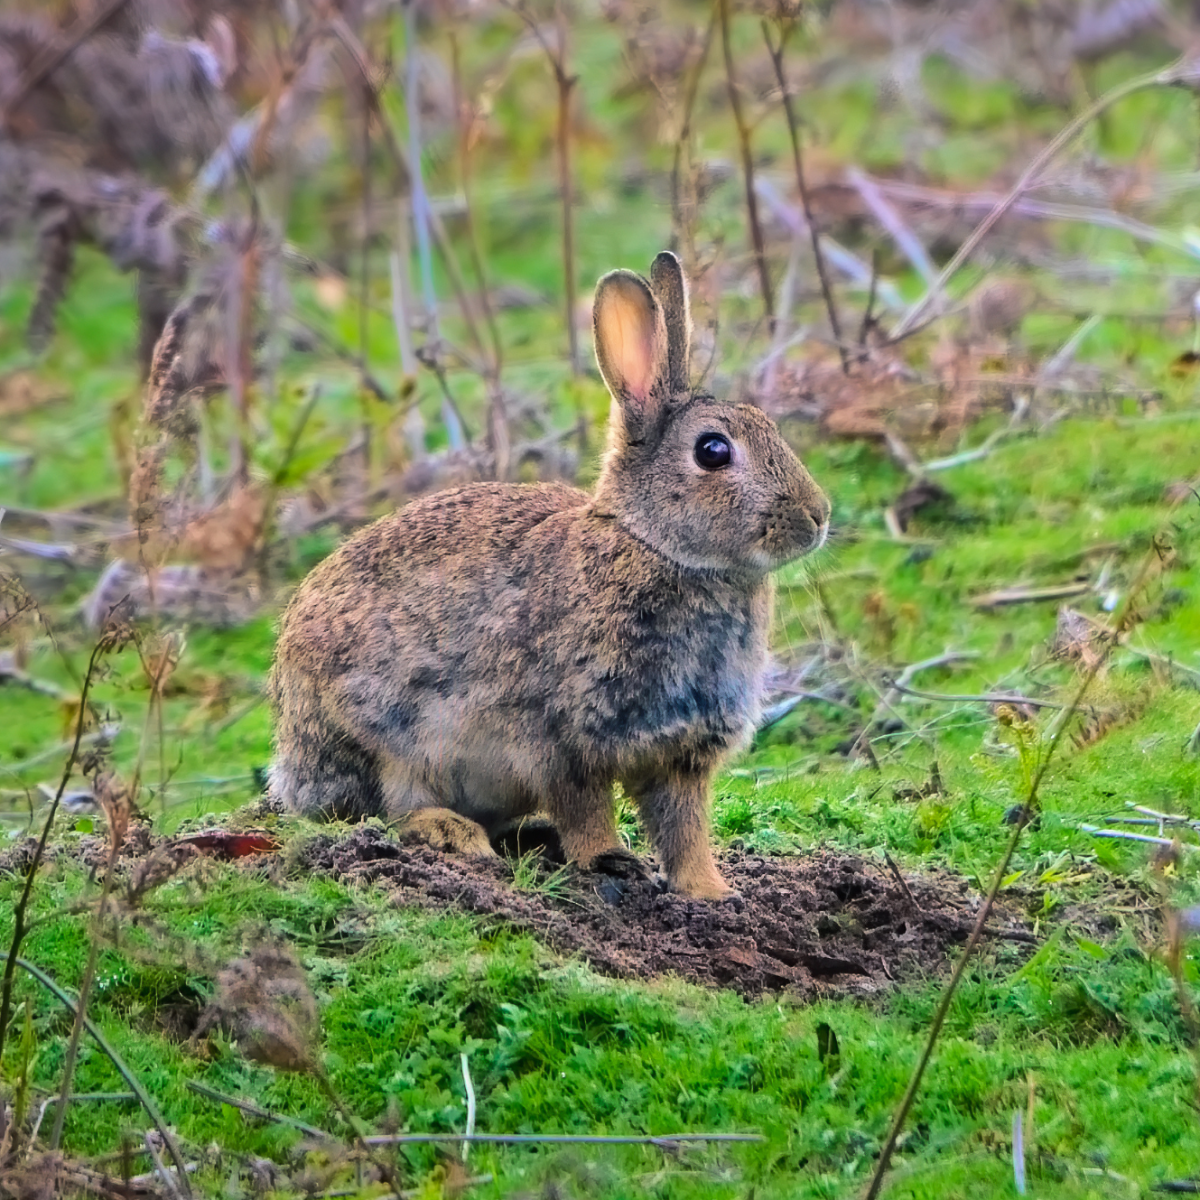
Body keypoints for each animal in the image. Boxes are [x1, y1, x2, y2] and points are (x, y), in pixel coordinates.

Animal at [270, 248, 835, 897]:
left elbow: (684, 828)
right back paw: (452, 832)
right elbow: (584, 808)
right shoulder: (560, 737)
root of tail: (291, 762)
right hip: (381, 737)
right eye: (713, 451)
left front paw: (711, 892)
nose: (818, 516)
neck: (656, 546)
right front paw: (606, 860)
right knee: (385, 809)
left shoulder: (682, 752)